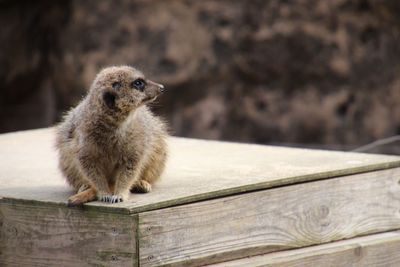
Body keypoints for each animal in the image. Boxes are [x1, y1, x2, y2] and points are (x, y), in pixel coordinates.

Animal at [55, 66, 167, 206]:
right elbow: (89, 166)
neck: (115, 124)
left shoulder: (137, 139)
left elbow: (130, 167)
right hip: (66, 159)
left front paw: (119, 194)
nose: (161, 87)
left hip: (158, 150)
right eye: (138, 83)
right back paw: (85, 186)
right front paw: (104, 193)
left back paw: (142, 183)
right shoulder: (84, 139)